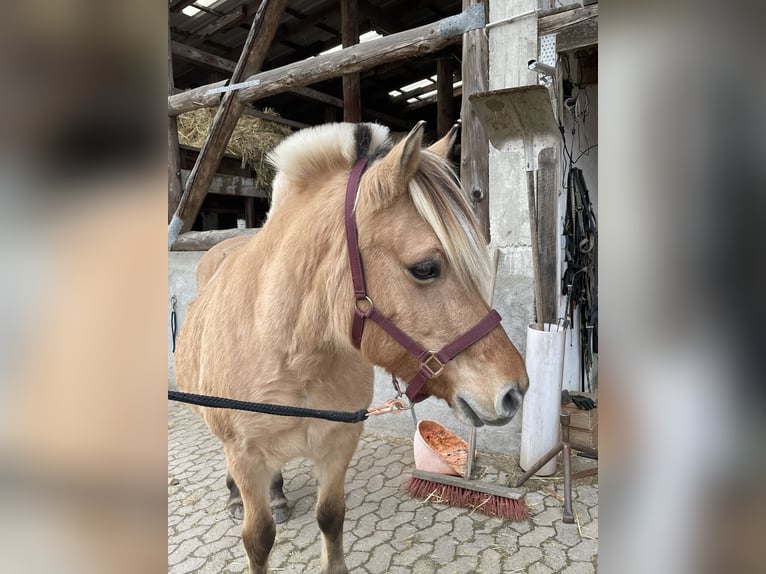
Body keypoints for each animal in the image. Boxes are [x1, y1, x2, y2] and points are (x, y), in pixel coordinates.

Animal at [174, 121, 529, 574]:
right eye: (425, 268)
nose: (514, 391)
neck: (293, 355)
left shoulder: (338, 444)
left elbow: (331, 517)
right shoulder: (246, 455)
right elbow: (258, 538)